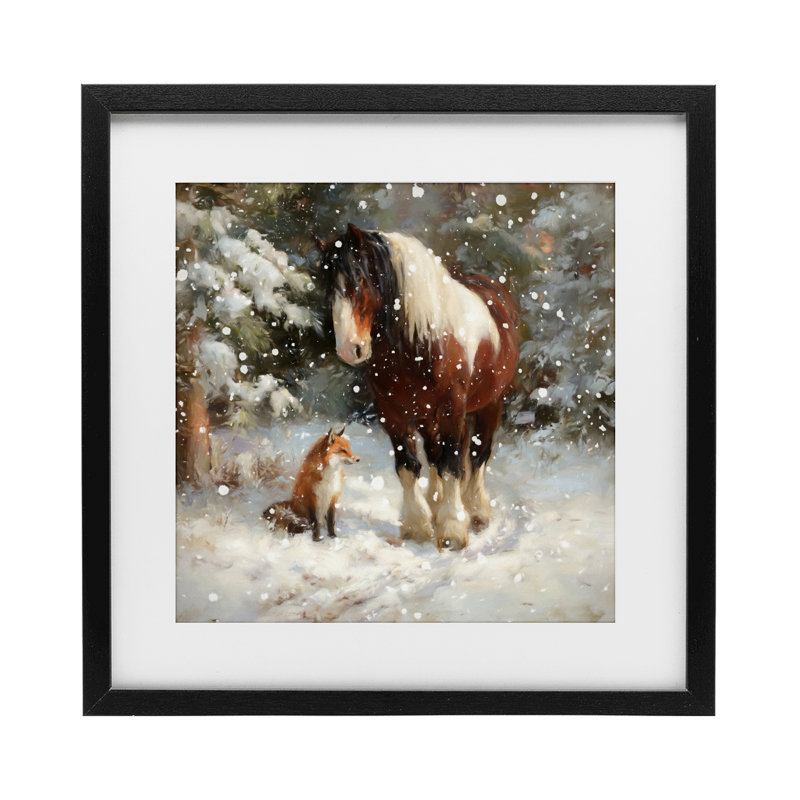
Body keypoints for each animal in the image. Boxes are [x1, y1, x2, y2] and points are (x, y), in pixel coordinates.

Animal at [317, 223, 519, 550]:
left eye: (360, 280)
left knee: (478, 454)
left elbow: (453, 464)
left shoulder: (451, 410)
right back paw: (436, 506)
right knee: (437, 455)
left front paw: (452, 530)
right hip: (427, 416)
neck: (420, 344)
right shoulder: (392, 414)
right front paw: (419, 526)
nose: (350, 349)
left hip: (491, 403)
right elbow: (409, 466)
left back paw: (476, 512)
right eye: (329, 289)